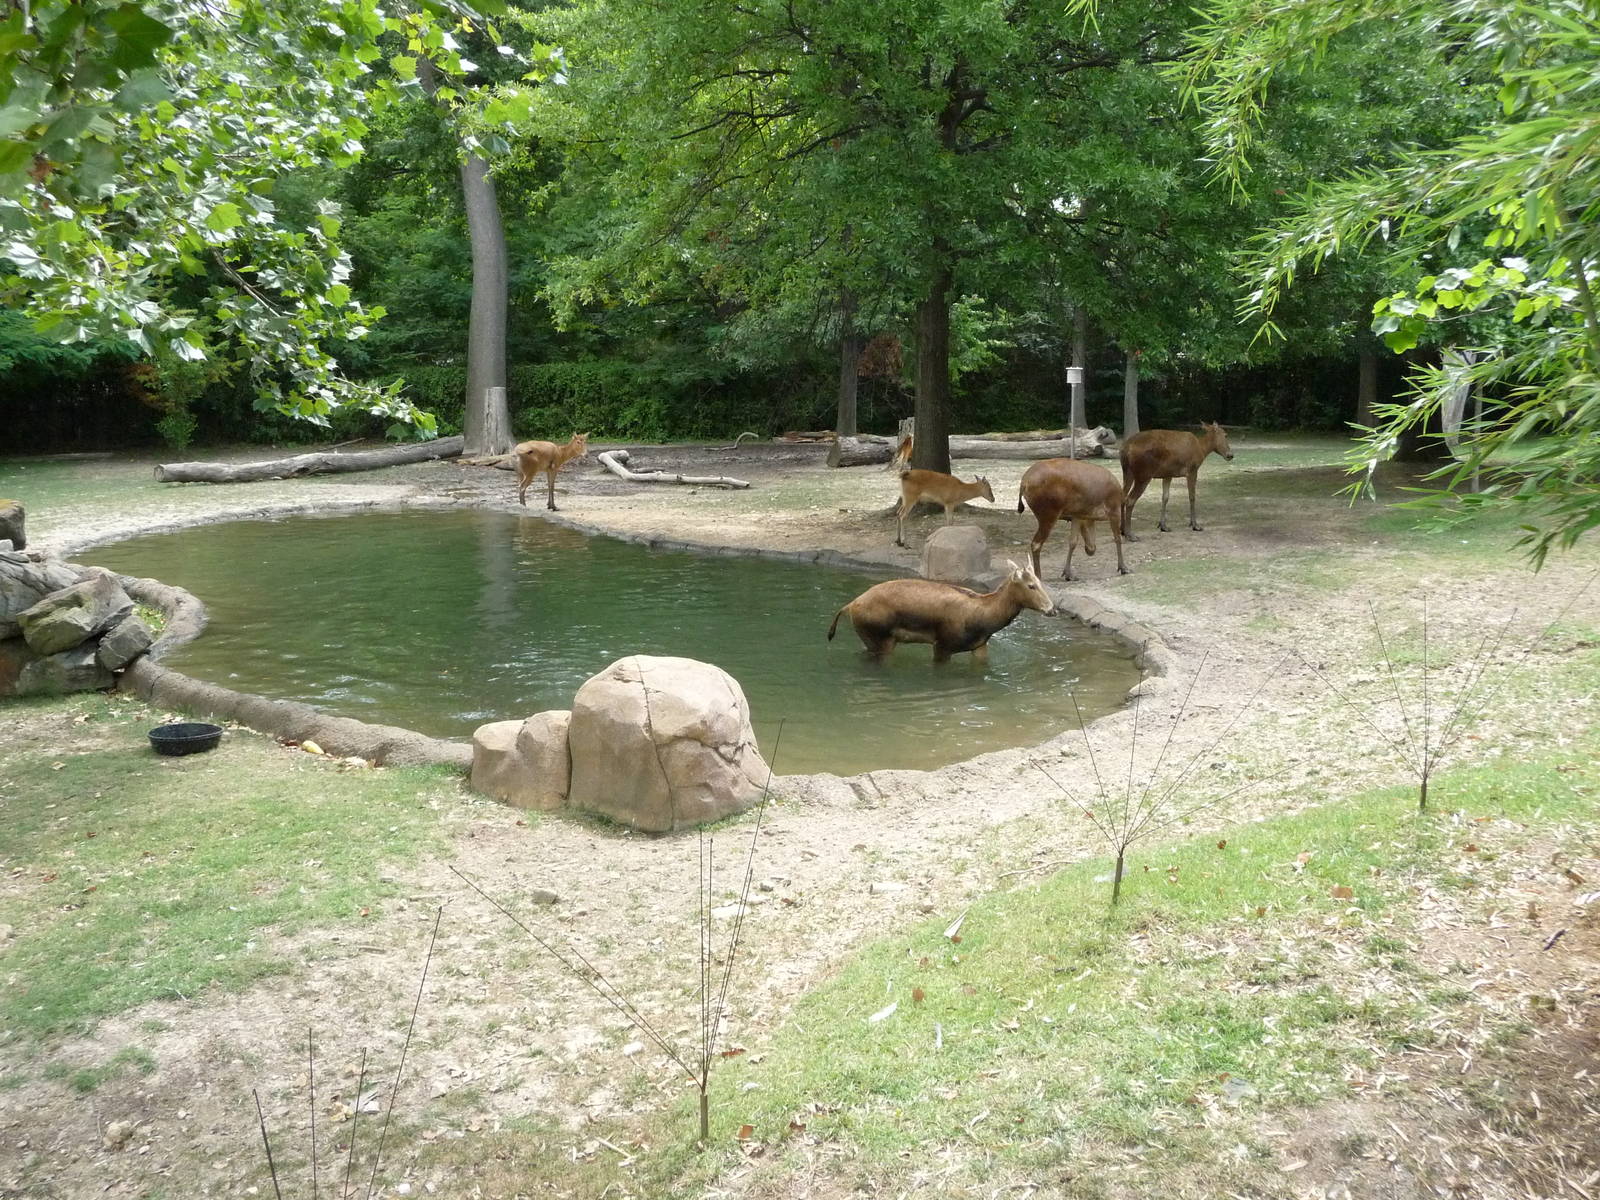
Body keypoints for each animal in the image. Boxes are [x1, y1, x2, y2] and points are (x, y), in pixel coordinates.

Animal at [827, 560, 1056, 662]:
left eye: (1040, 581)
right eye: (1031, 586)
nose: (1052, 610)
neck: (984, 620)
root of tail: (849, 606)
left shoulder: (979, 646)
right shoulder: (943, 644)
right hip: (880, 638)